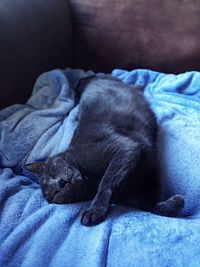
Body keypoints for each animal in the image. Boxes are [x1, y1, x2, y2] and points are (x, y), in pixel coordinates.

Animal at [24, 75, 185, 226]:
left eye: (52, 172)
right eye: (55, 194)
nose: (61, 182)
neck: (90, 179)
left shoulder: (124, 149)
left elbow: (107, 183)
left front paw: (94, 211)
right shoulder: (149, 177)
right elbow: (149, 206)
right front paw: (175, 203)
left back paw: (139, 85)